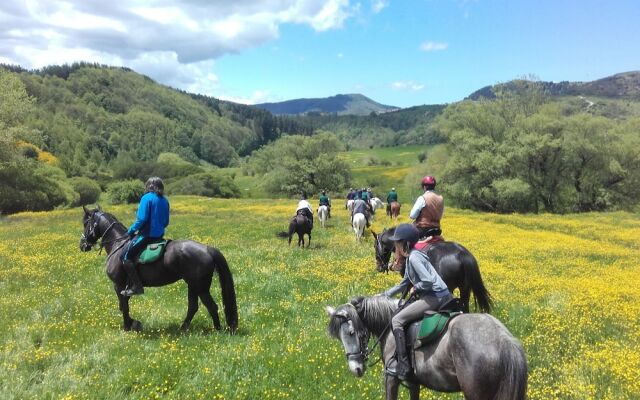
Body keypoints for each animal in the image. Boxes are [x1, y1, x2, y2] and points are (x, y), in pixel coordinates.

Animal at [78, 206, 238, 332]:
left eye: (85, 223)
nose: (82, 245)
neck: (118, 244)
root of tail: (207, 249)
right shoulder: (124, 287)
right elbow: (124, 305)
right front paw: (133, 323)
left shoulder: (119, 286)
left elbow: (123, 307)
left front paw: (128, 326)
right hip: (192, 286)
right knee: (193, 307)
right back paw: (183, 329)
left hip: (200, 287)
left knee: (212, 306)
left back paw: (217, 330)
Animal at [328, 294, 528, 400]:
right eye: (339, 337)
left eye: (351, 332)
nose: (356, 369)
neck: (389, 324)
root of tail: (504, 340)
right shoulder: (413, 382)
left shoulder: (391, 378)